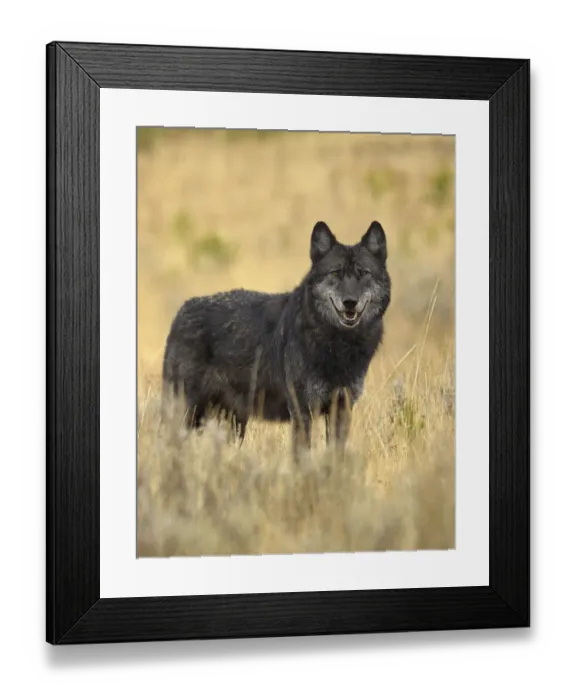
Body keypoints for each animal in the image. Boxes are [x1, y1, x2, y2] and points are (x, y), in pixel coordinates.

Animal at [162, 220, 391, 457]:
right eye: (335, 272)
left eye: (363, 273)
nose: (350, 302)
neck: (338, 346)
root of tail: (182, 311)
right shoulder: (302, 410)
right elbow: (302, 456)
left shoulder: (341, 409)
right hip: (188, 414)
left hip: (233, 423)